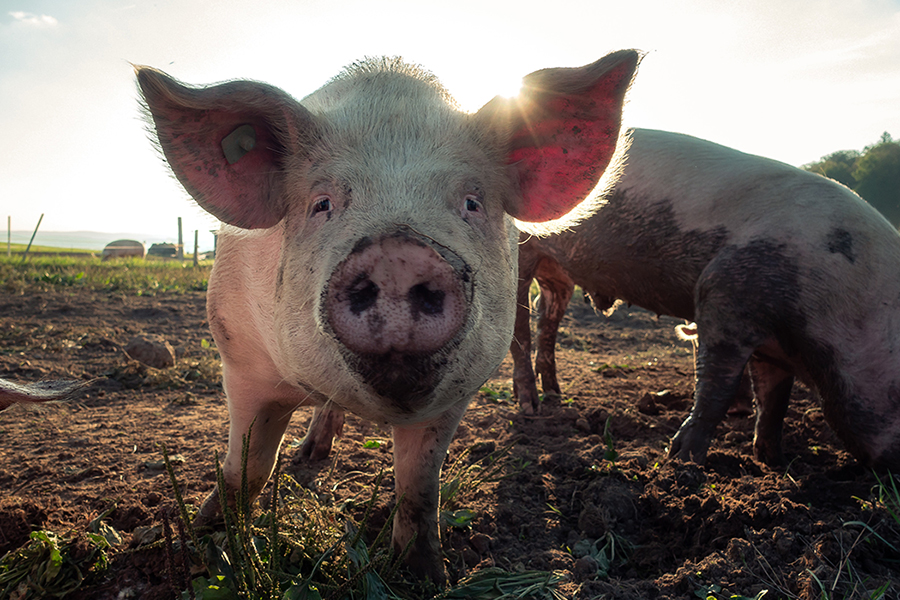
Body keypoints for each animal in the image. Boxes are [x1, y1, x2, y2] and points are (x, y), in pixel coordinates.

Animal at [137, 51, 636, 584]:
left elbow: (419, 486)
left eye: (471, 203)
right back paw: (308, 456)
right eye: (322, 203)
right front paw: (205, 546)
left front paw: (426, 577)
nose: (398, 253)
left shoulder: (459, 391)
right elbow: (246, 468)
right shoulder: (240, 357)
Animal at [510, 127, 900, 474]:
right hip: (520, 256)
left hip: (558, 273)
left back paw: (555, 394)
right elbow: (716, 389)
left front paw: (774, 462)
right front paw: (682, 460)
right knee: (520, 330)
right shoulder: (722, 297)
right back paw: (530, 408)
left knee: (547, 320)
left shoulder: (771, 343)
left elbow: (775, 400)